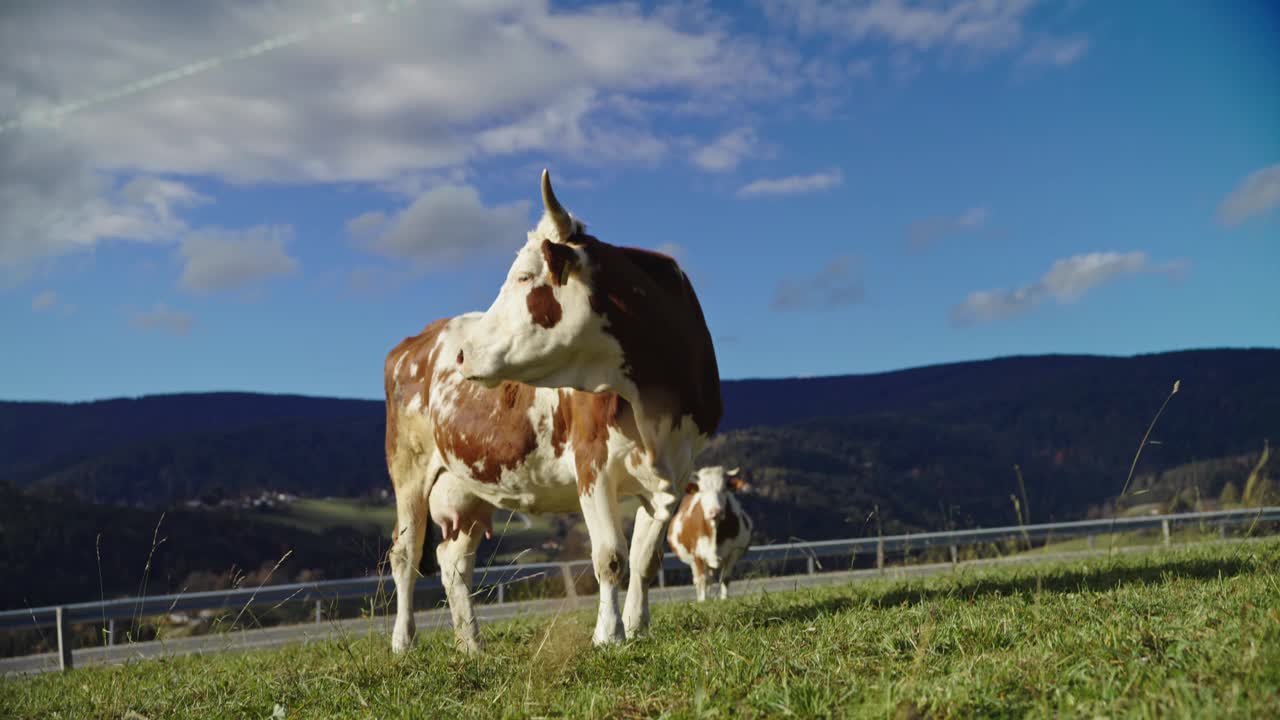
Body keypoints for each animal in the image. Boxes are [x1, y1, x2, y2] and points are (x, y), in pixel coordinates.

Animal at [378, 167, 721, 650]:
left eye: (524, 277)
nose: (464, 355)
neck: (655, 399)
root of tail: (418, 339)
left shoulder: (676, 468)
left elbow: (644, 559)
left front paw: (637, 625)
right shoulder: (592, 462)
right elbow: (610, 557)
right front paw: (608, 634)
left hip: (469, 486)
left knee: (452, 560)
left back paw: (471, 643)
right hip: (408, 468)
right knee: (405, 553)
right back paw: (403, 641)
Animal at [665, 461, 752, 597]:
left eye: (724, 489)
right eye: (702, 491)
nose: (715, 512)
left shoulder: (734, 552)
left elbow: (725, 579)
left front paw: (724, 599)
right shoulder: (696, 554)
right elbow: (702, 580)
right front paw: (703, 600)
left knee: (710, 578)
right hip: (693, 560)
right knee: (700, 579)